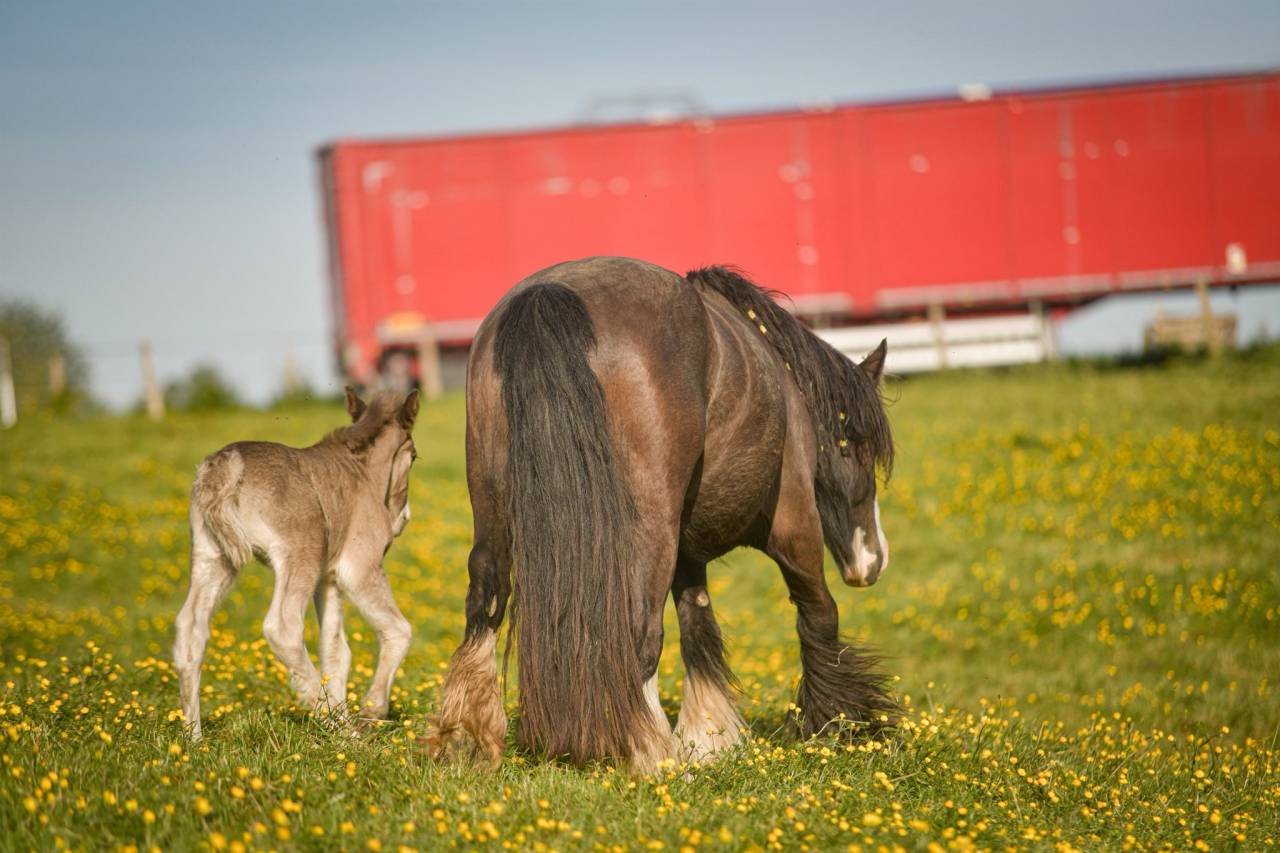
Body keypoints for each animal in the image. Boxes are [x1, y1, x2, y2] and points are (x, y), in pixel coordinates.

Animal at [174, 388, 419, 739]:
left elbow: (336, 649)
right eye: (413, 456)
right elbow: (398, 630)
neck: (361, 472)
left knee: (190, 626)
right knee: (283, 627)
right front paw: (370, 713)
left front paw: (350, 711)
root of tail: (224, 465)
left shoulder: (328, 578)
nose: (404, 519)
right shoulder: (360, 567)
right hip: (300, 554)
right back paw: (338, 726)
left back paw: (193, 737)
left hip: (213, 556)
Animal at [426, 256, 895, 771]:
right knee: (641, 630)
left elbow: (698, 622)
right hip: (651, 529)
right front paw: (835, 725)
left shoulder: (688, 554)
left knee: (485, 598)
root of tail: (549, 295)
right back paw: (650, 755)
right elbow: (819, 615)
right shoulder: (793, 524)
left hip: (492, 504)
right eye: (861, 452)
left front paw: (709, 738)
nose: (873, 560)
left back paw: (469, 739)